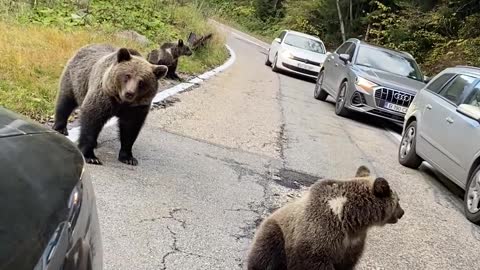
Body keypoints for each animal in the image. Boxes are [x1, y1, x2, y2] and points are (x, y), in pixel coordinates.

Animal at [248, 166, 404, 268]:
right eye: (398, 200)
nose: (402, 213)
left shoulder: (353, 245)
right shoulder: (319, 235)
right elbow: (315, 260)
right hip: (277, 233)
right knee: (265, 253)